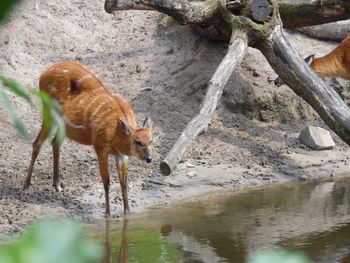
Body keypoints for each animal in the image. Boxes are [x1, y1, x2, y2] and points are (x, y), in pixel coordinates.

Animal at [22, 61, 152, 217]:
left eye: (151, 140)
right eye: (137, 141)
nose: (149, 158)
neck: (116, 132)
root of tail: (43, 74)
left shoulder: (121, 156)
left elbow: (123, 182)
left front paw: (127, 212)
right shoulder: (100, 147)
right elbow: (106, 181)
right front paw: (107, 214)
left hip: (62, 125)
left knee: (54, 143)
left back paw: (58, 185)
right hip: (49, 113)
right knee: (37, 143)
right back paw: (27, 187)